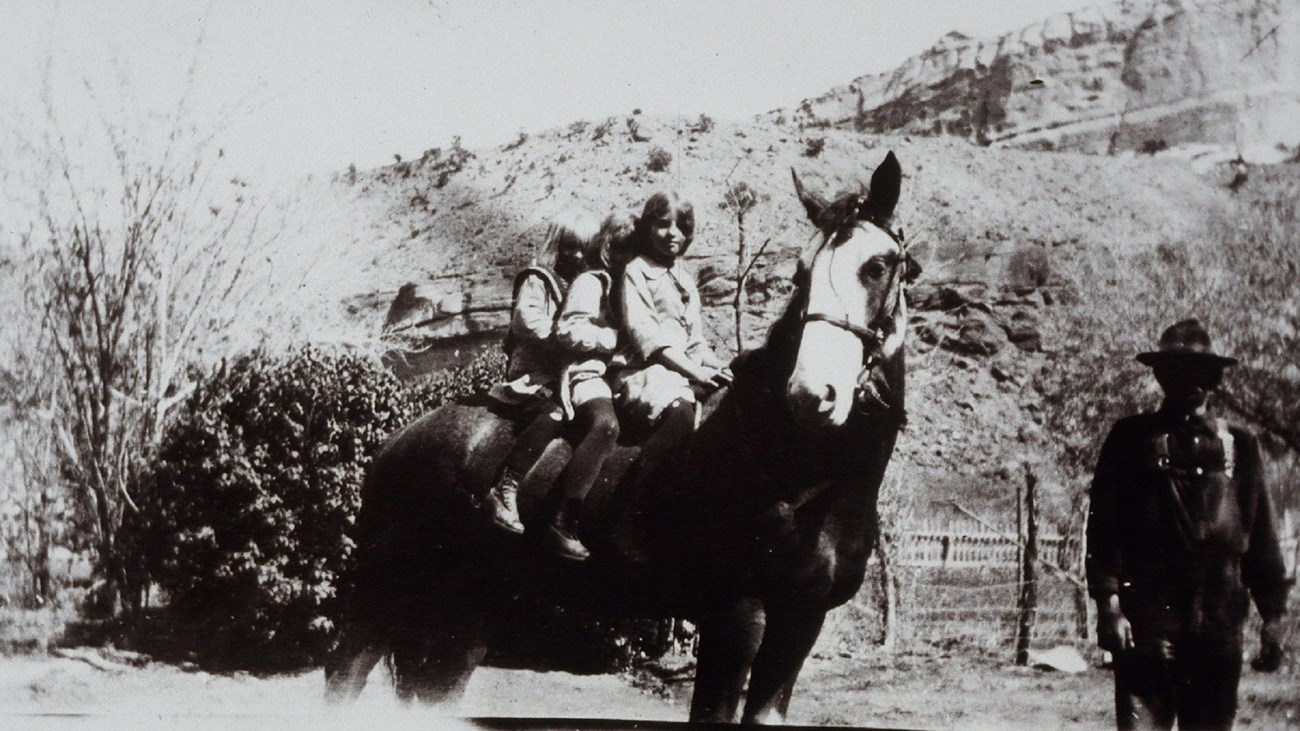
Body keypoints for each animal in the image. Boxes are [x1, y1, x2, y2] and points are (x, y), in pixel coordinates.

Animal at [323, 150, 915, 717]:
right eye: (799, 274)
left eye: (878, 266)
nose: (813, 395)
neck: (799, 478)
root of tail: (403, 438)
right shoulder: (735, 616)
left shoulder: (800, 623)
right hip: (380, 592)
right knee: (345, 674)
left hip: (465, 607)